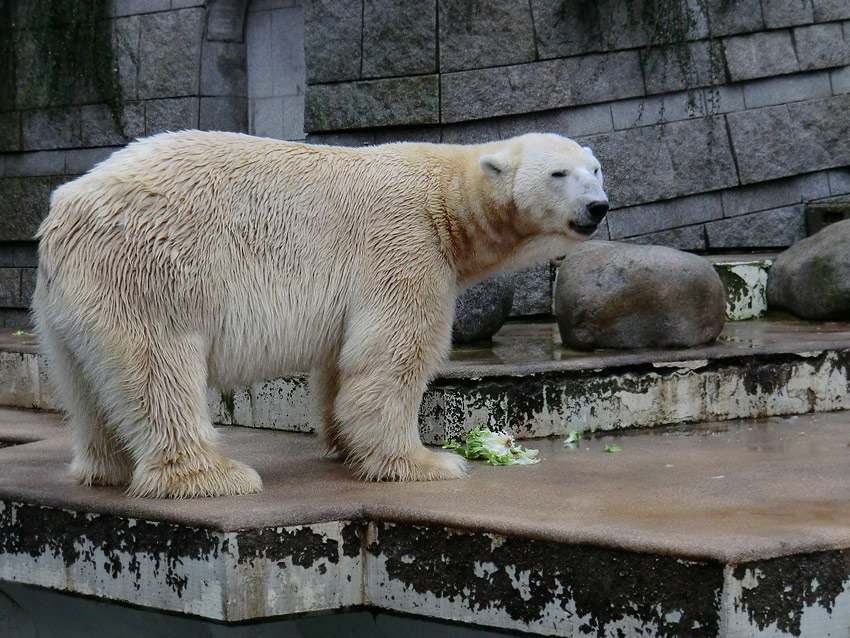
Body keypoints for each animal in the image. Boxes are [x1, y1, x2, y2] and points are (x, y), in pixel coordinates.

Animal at [31, 131, 604, 500]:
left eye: (595, 170)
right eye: (559, 173)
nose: (598, 206)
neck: (445, 197)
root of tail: (63, 212)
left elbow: (340, 362)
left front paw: (345, 447)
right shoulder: (403, 244)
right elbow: (392, 357)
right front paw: (427, 462)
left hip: (66, 305)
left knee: (84, 381)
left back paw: (106, 467)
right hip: (151, 271)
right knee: (159, 367)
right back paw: (213, 476)